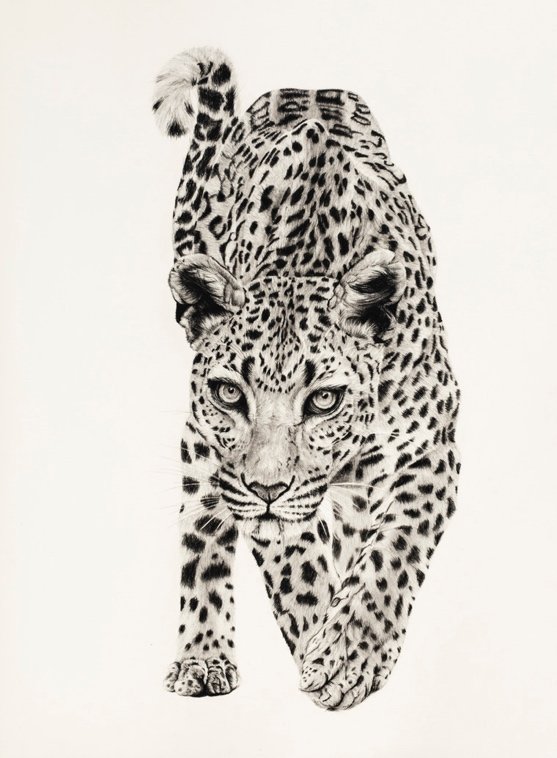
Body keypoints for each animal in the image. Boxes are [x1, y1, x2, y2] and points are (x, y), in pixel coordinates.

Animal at [153, 47, 460, 710]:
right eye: (229, 393)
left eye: (324, 400)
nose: (267, 487)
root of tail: (307, 86)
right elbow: (299, 570)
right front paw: (328, 653)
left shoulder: (431, 446)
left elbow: (393, 551)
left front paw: (347, 655)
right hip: (200, 454)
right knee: (201, 539)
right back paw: (203, 658)